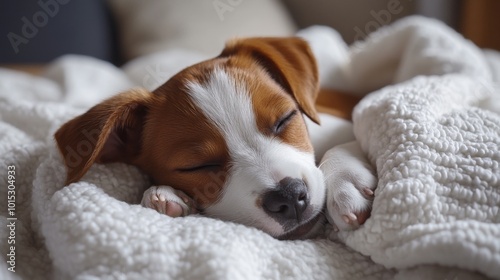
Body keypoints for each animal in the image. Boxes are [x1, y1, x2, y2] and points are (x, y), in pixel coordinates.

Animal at [54, 36, 376, 238]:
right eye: (197, 166)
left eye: (284, 120)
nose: (288, 196)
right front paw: (163, 195)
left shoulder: (344, 122)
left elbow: (344, 143)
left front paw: (347, 183)